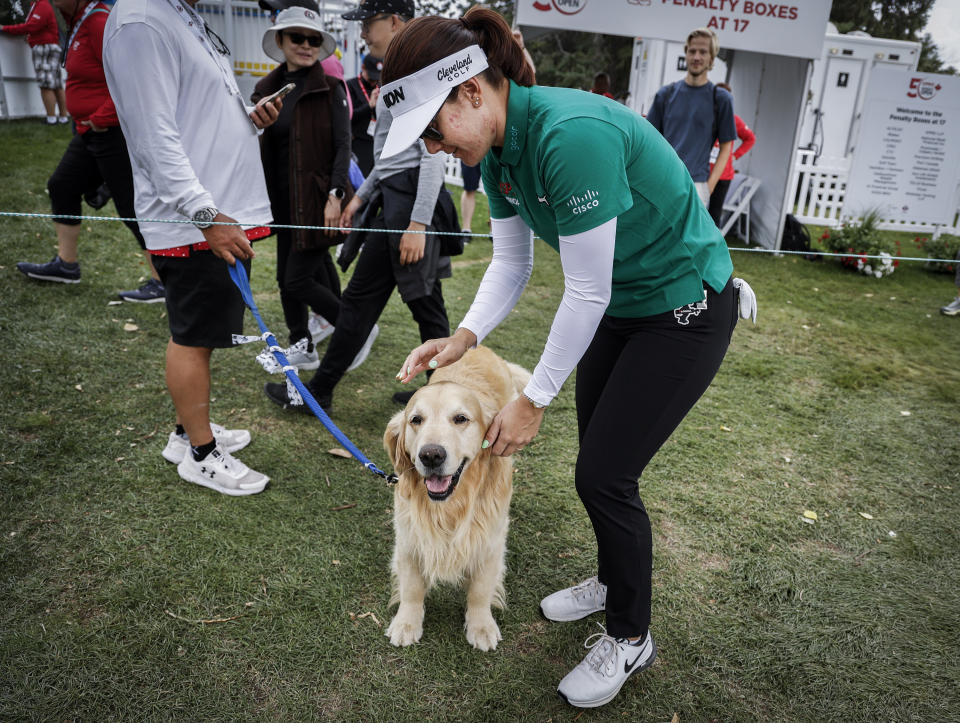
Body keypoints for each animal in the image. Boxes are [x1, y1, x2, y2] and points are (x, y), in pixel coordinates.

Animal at [382, 346, 532, 652]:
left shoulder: (490, 540)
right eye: (416, 420)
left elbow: (480, 590)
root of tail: (480, 347)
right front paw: (406, 623)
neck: (449, 507)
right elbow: (411, 587)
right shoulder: (409, 535)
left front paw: (481, 626)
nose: (431, 455)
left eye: (461, 419)